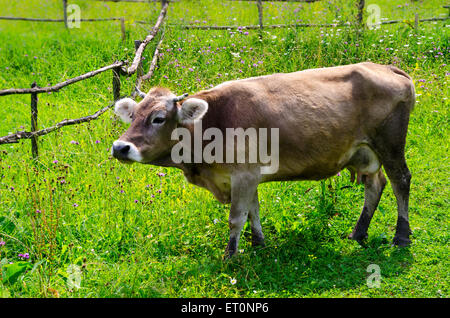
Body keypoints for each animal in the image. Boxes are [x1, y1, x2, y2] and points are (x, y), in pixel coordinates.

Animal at [111, 60, 414, 258]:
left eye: (158, 118)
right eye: (133, 114)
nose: (120, 147)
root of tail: (386, 67)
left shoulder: (243, 175)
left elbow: (236, 217)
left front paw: (230, 256)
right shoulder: (249, 175)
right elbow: (253, 211)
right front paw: (258, 244)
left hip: (390, 144)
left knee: (400, 181)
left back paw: (401, 236)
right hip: (364, 152)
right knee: (375, 184)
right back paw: (358, 233)